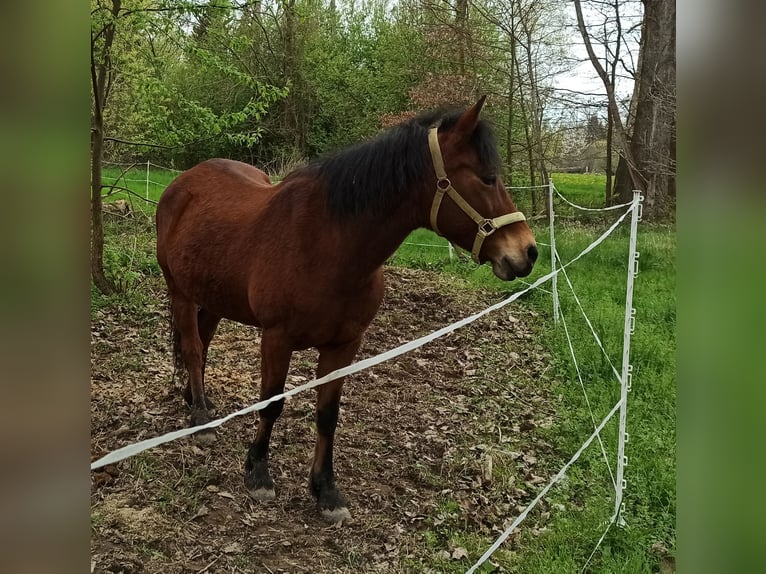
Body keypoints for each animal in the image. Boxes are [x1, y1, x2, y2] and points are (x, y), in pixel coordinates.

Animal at [154, 97, 540, 524]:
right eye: (487, 178)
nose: (527, 252)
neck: (328, 244)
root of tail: (182, 184)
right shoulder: (276, 339)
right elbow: (272, 403)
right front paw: (258, 473)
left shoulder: (344, 346)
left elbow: (328, 415)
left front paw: (326, 491)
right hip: (180, 292)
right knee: (192, 348)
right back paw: (201, 419)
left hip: (213, 297)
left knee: (203, 343)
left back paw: (197, 400)